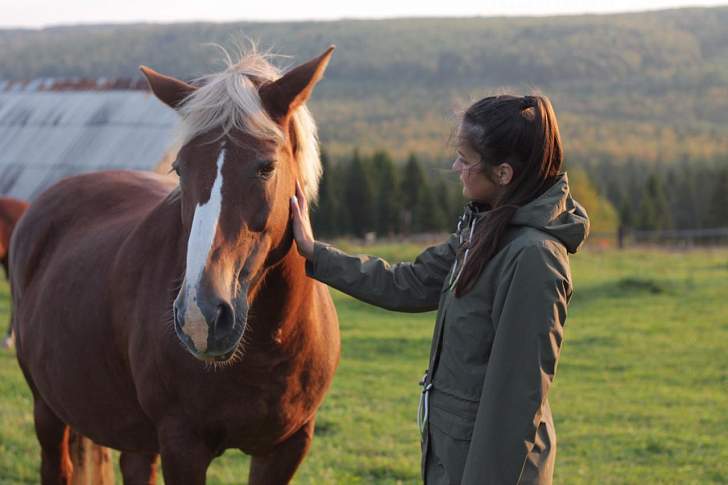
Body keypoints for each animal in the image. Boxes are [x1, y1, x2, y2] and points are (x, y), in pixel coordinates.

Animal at [10, 46, 342, 484]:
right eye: (180, 169)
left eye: (266, 166)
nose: (201, 316)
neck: (268, 344)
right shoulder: (182, 445)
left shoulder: (286, 447)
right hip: (47, 409)